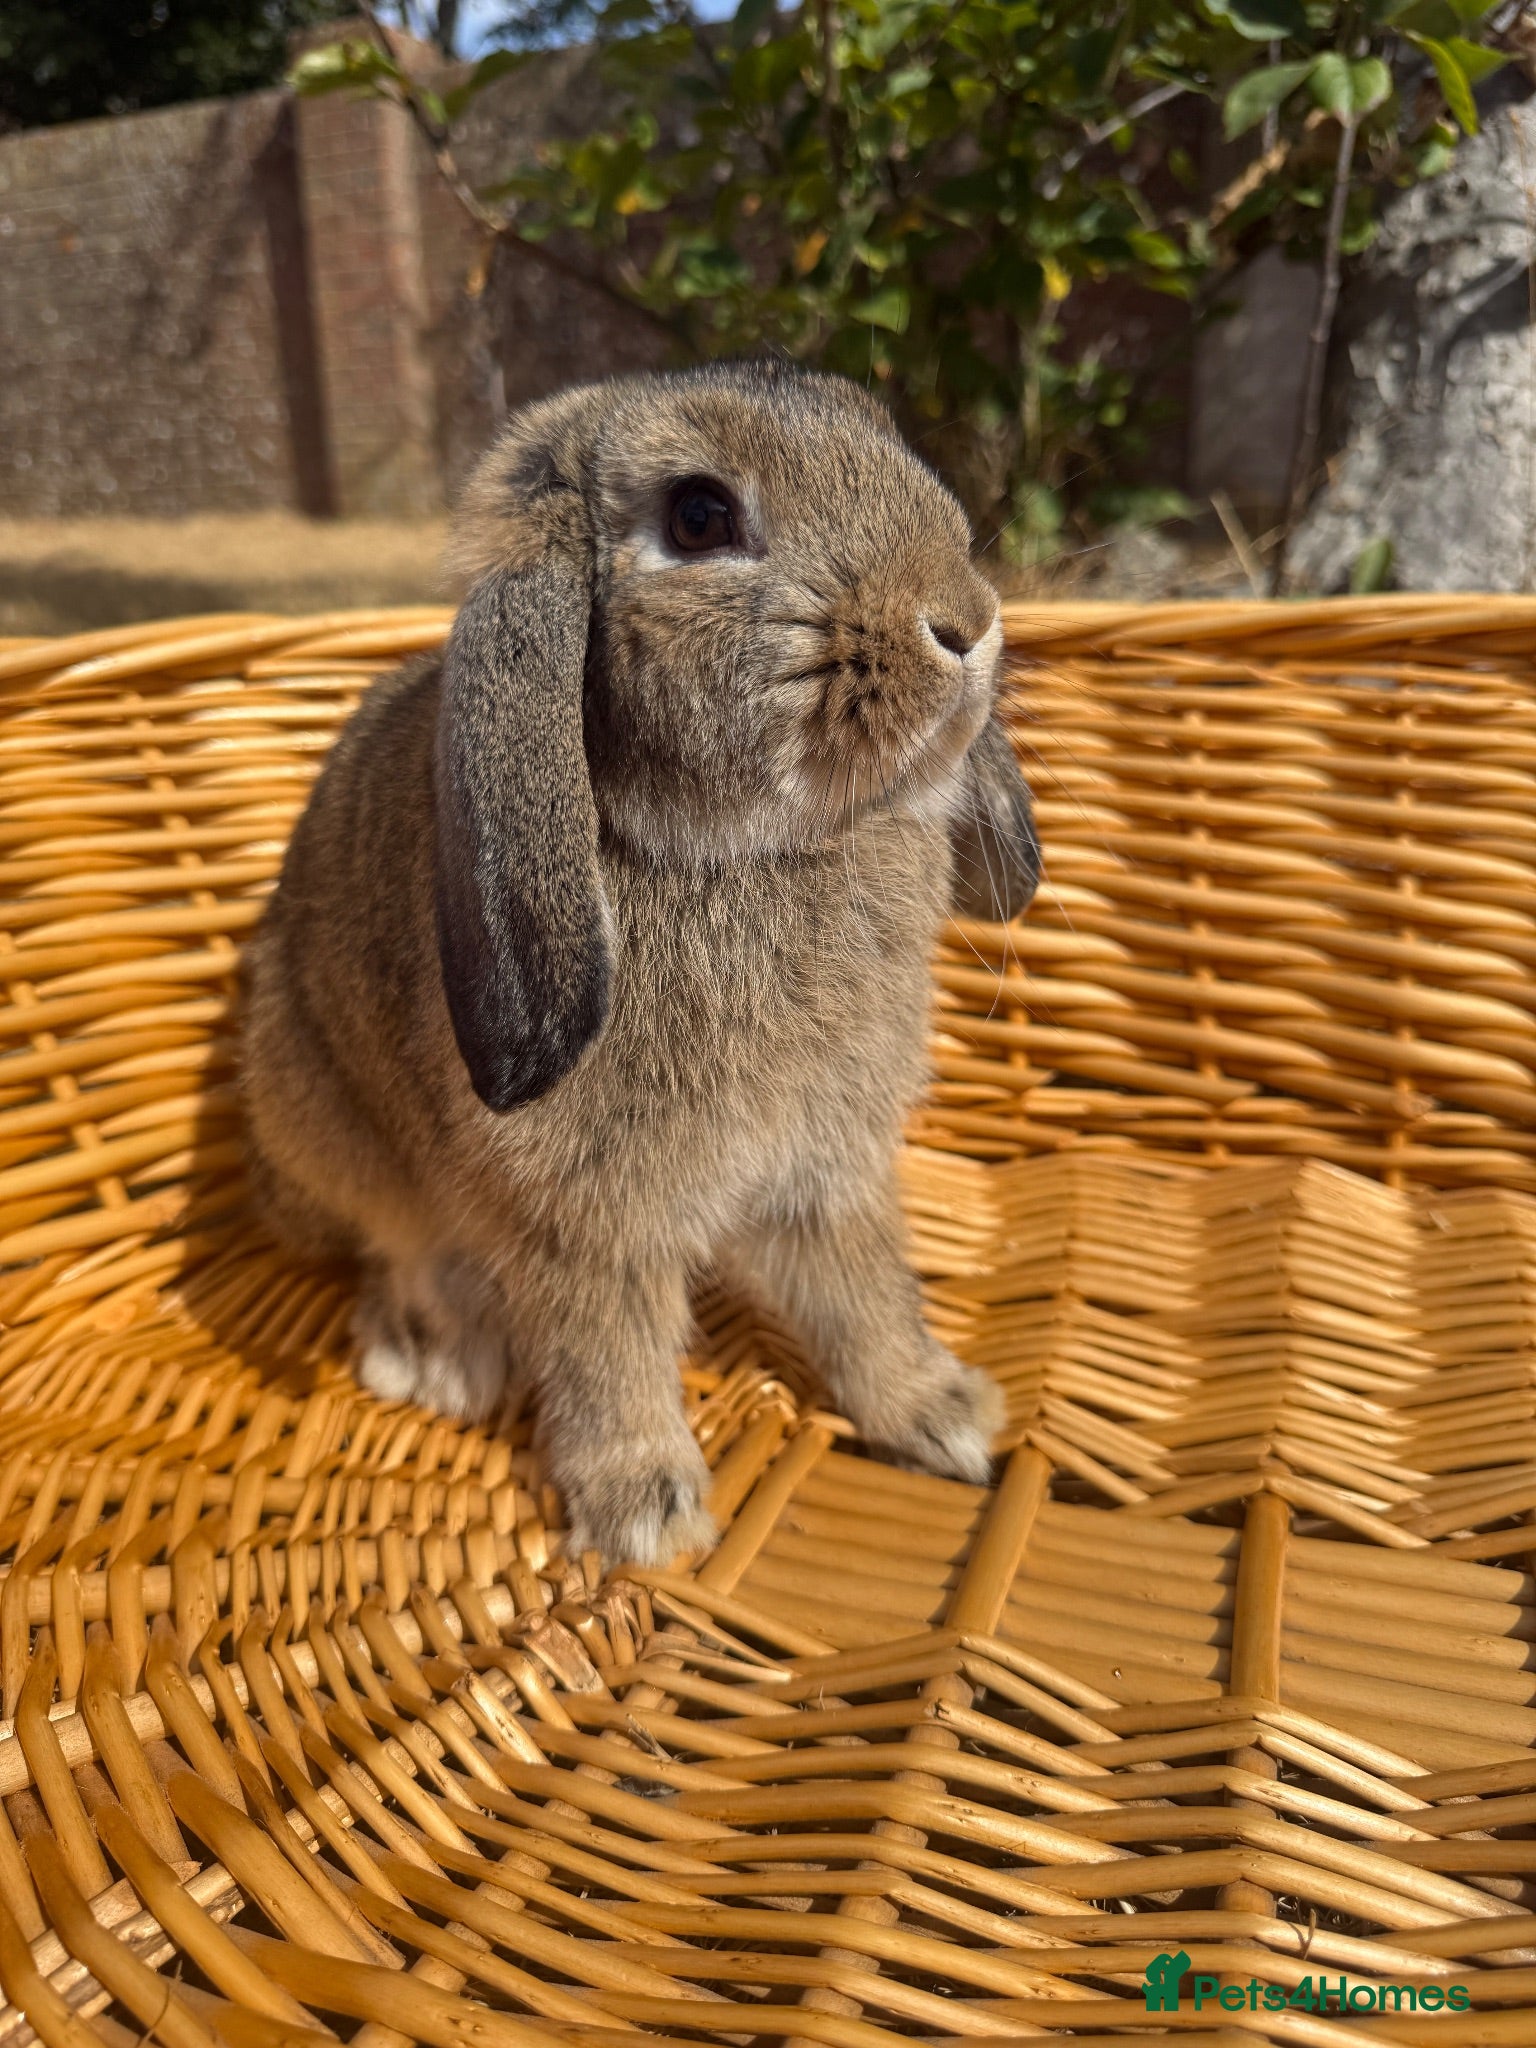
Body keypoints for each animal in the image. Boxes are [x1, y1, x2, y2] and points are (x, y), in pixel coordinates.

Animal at [241, 359, 1039, 1568]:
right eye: (699, 516)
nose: (967, 623)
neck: (749, 849)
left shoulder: (828, 1174)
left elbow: (862, 1295)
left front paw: (943, 1414)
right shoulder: (580, 1219)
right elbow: (605, 1354)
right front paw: (647, 1516)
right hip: (332, 1125)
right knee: (402, 1245)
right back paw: (436, 1360)